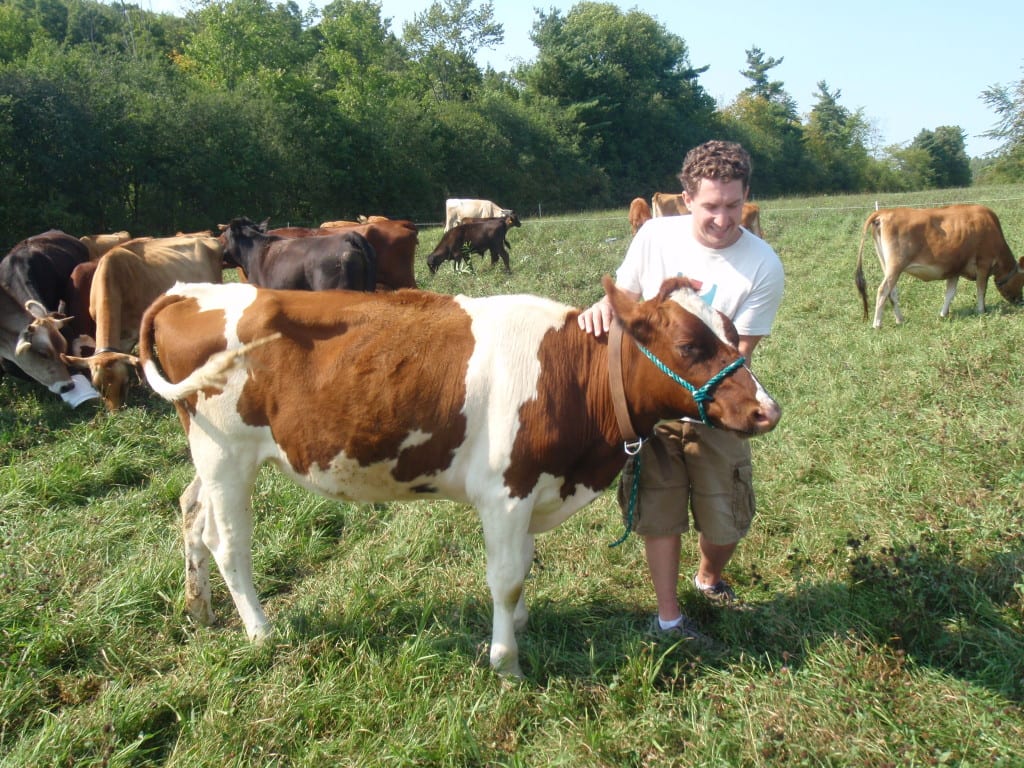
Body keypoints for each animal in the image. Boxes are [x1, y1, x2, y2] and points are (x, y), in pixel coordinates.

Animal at [137, 276, 780, 676]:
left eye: (732, 330)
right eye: (691, 342)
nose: (766, 410)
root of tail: (189, 291)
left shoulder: (531, 491)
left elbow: (523, 567)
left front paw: (519, 626)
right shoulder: (505, 491)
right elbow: (506, 578)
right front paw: (506, 660)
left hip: (206, 453)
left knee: (190, 512)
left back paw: (199, 610)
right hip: (228, 455)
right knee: (228, 542)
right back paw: (261, 632)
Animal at [854, 204, 1024, 328]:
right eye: (1022, 281)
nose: (1020, 301)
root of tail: (885, 212)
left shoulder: (955, 269)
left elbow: (950, 293)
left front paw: (943, 314)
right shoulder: (984, 263)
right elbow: (981, 290)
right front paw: (981, 311)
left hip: (888, 266)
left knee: (892, 292)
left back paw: (900, 320)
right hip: (896, 266)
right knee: (883, 290)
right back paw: (877, 324)